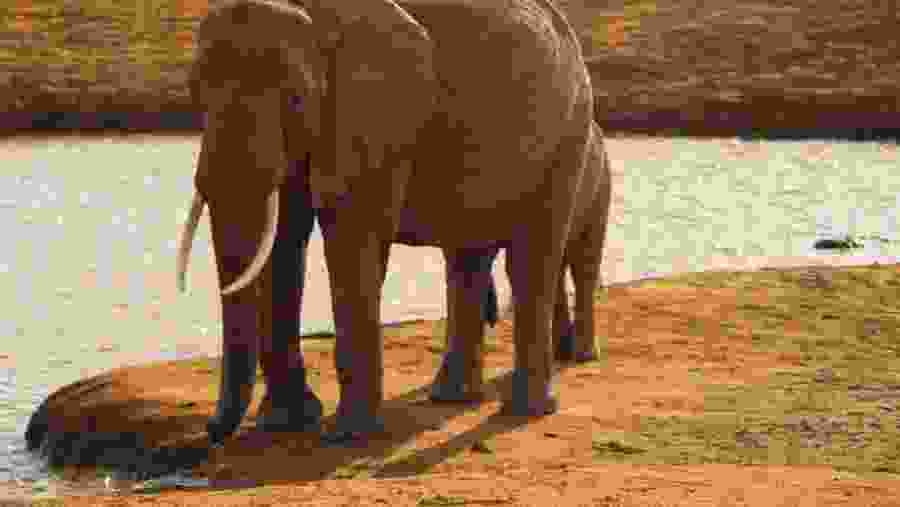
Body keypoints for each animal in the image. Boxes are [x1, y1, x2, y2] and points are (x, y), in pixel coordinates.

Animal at [176, 0, 594, 446]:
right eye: (195, 92)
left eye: (295, 96)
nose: (210, 433)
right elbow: (285, 236)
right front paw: (287, 422)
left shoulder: (370, 120)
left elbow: (351, 232)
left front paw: (347, 435)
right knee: (467, 260)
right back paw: (452, 398)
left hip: (569, 134)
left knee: (532, 258)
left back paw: (525, 410)